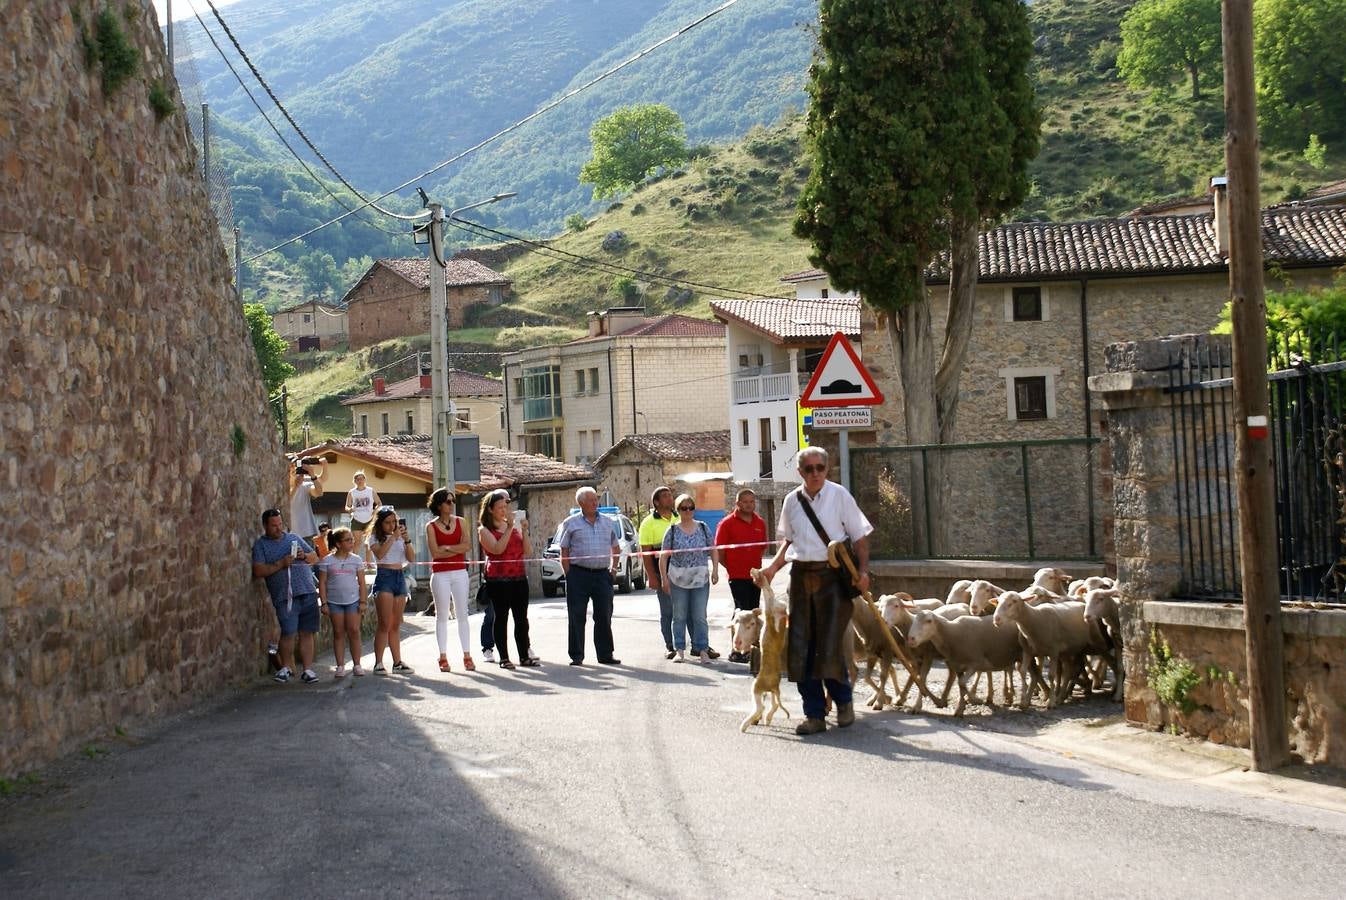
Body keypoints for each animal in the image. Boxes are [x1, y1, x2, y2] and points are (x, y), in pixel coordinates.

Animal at [742, 567, 791, 731]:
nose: (752, 569)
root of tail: (774, 686)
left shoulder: (770, 606)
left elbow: (767, 590)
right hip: (773, 692)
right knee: (774, 705)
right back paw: (767, 719)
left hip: (756, 688)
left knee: (760, 707)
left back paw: (744, 725)